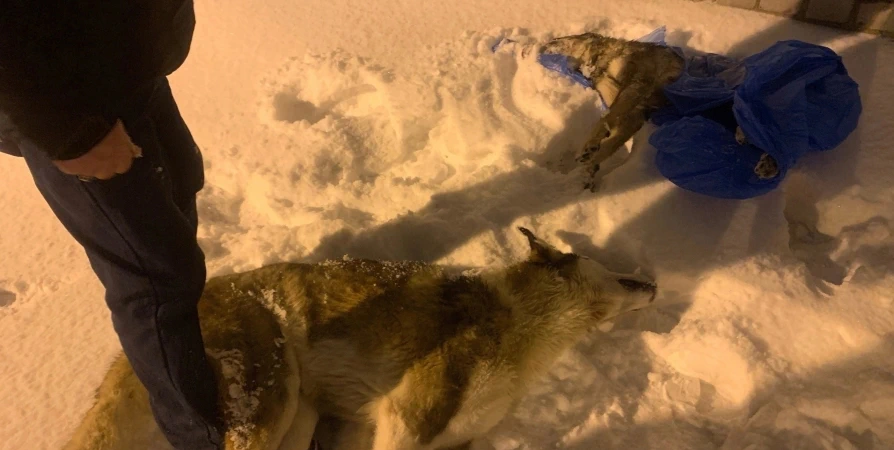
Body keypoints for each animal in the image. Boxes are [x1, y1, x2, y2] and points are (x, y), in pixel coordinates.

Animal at [59, 229, 656, 450]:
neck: (517, 322)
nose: (652, 280)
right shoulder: (404, 420)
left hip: (298, 418)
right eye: (615, 271)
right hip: (270, 396)